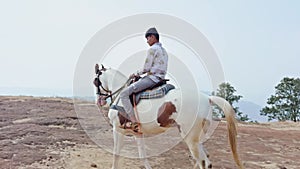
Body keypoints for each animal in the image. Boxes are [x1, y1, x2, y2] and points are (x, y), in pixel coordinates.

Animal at [95, 66, 243, 169]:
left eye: (96, 81)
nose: (99, 100)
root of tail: (208, 98)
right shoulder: (138, 133)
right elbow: (143, 156)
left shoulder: (117, 129)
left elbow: (116, 154)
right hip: (198, 138)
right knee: (205, 159)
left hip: (190, 139)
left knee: (203, 162)